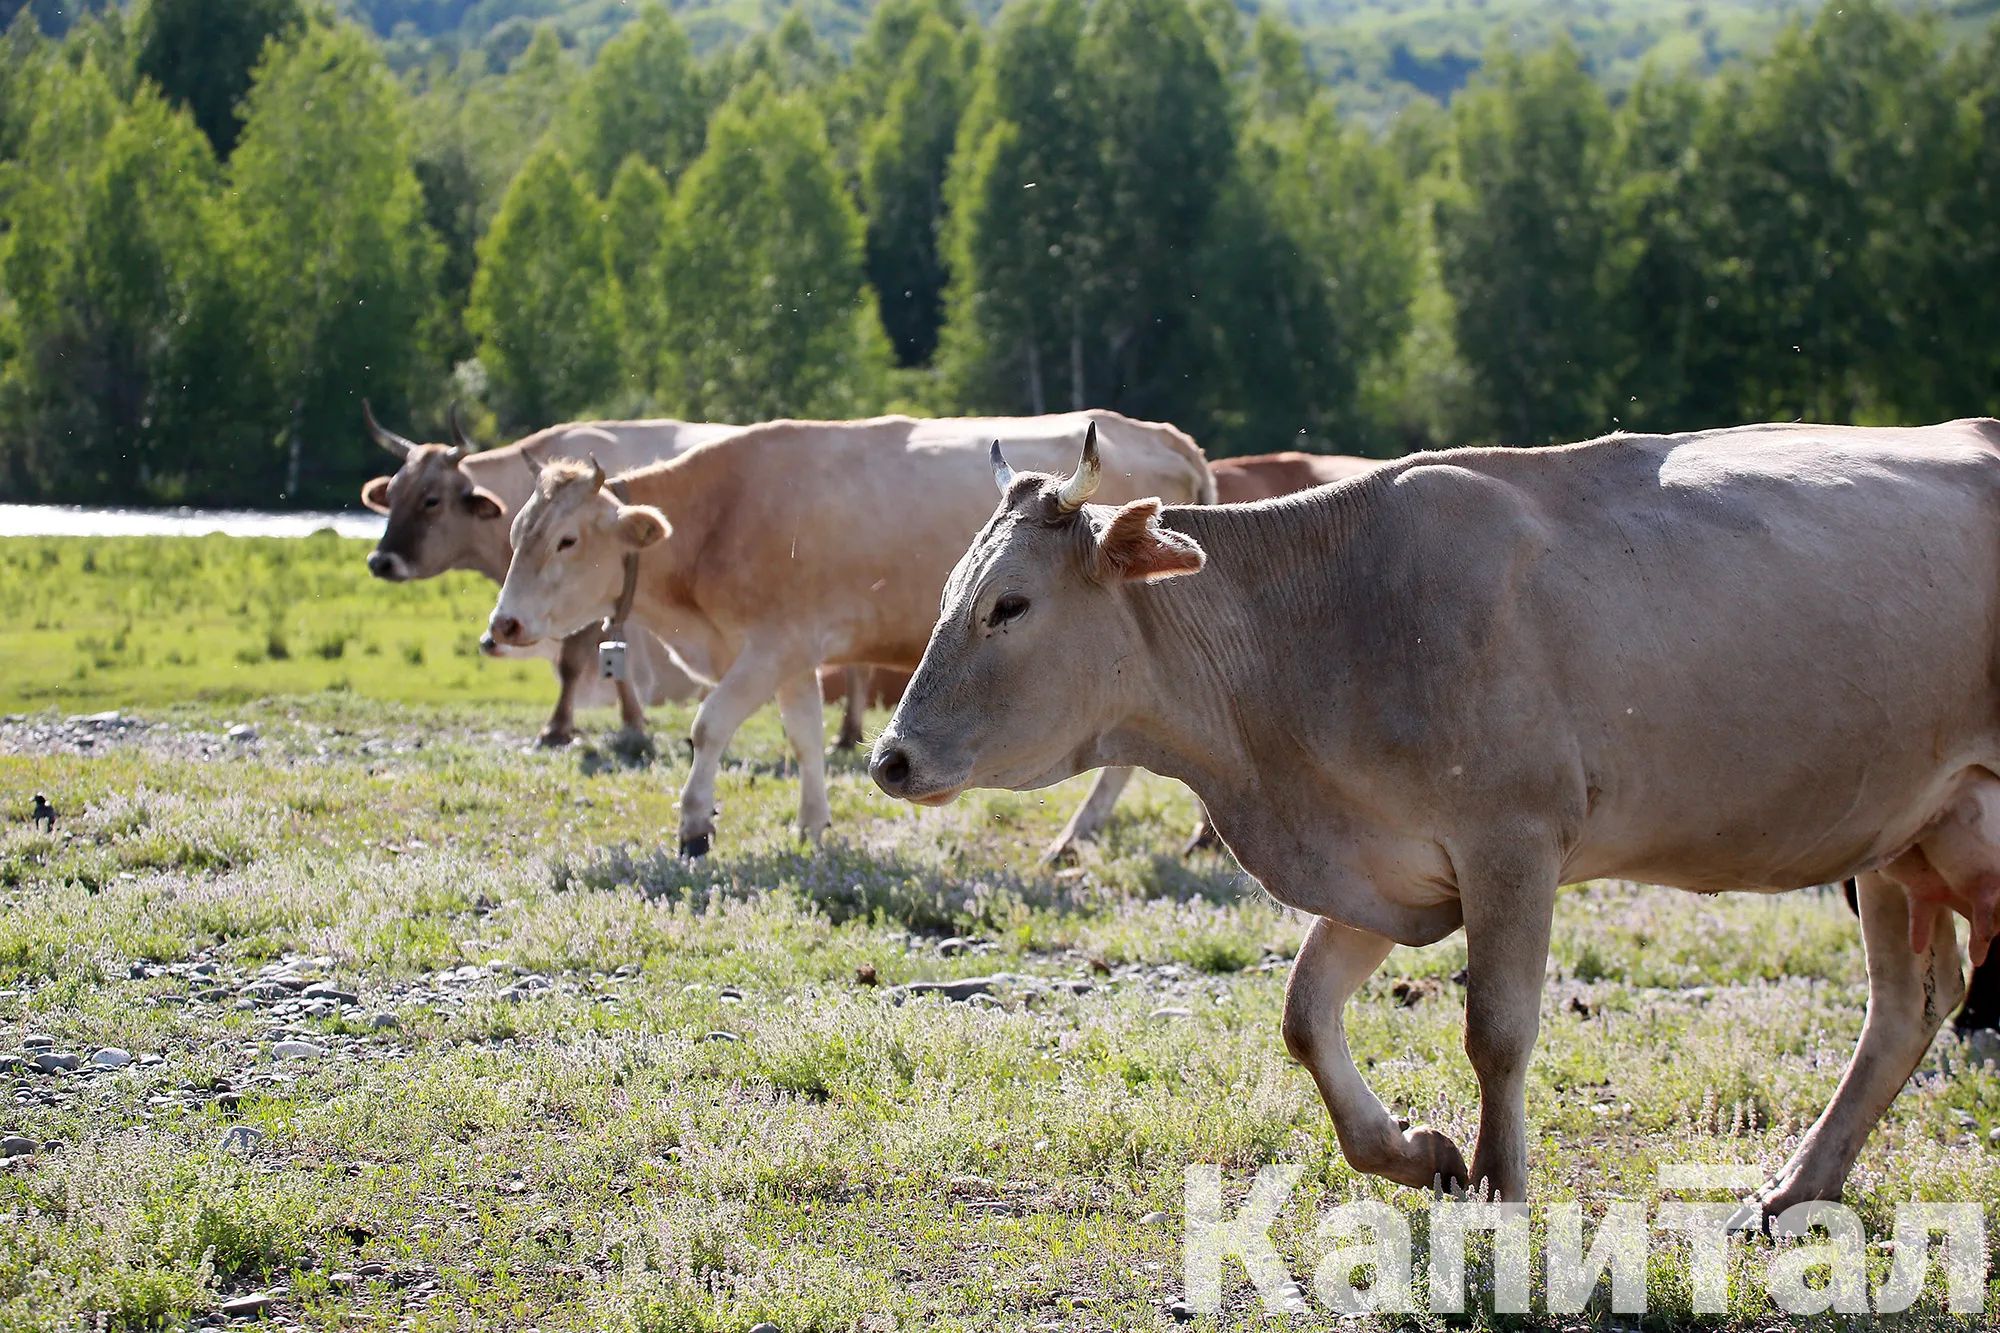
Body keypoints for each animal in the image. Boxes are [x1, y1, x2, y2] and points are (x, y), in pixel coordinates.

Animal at [484, 410, 1208, 856]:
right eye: (517, 531)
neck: (723, 514)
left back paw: (1078, 835)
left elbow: (709, 724)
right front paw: (812, 824)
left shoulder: (769, 645)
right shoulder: (794, 653)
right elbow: (804, 734)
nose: (503, 625)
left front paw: (693, 824)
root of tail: (1164, 434)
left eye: (567, 539)